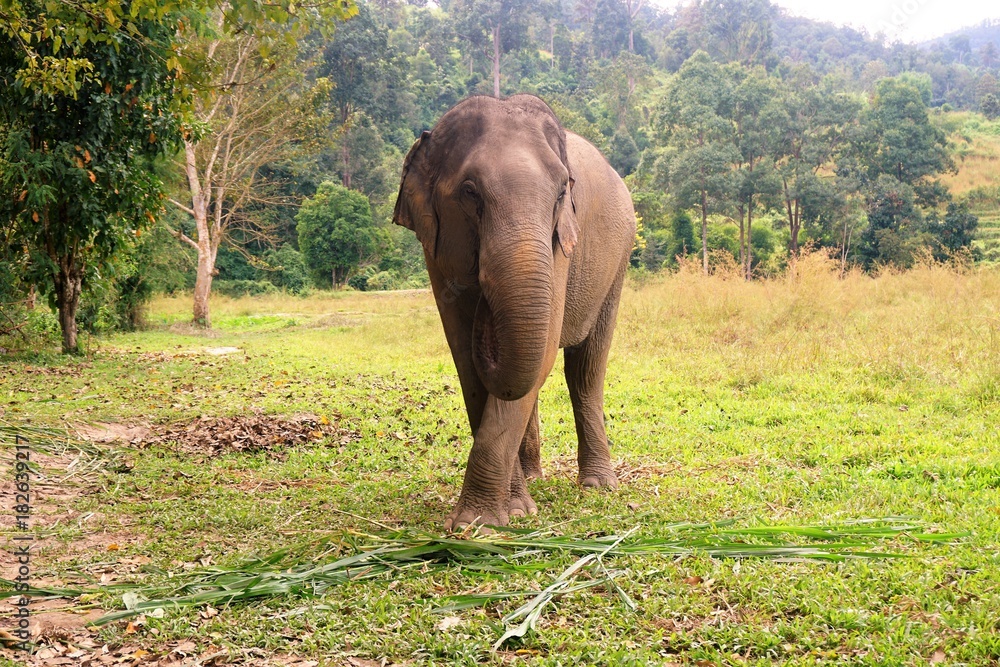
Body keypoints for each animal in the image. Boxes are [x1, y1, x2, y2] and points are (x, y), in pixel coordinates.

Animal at [393, 94, 636, 530]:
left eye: (561, 192)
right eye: (470, 192)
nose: (485, 318)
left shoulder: (560, 246)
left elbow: (539, 357)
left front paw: (481, 520)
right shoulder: (435, 251)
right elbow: (467, 364)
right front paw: (509, 510)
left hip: (619, 259)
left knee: (585, 369)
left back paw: (598, 485)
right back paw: (535, 478)